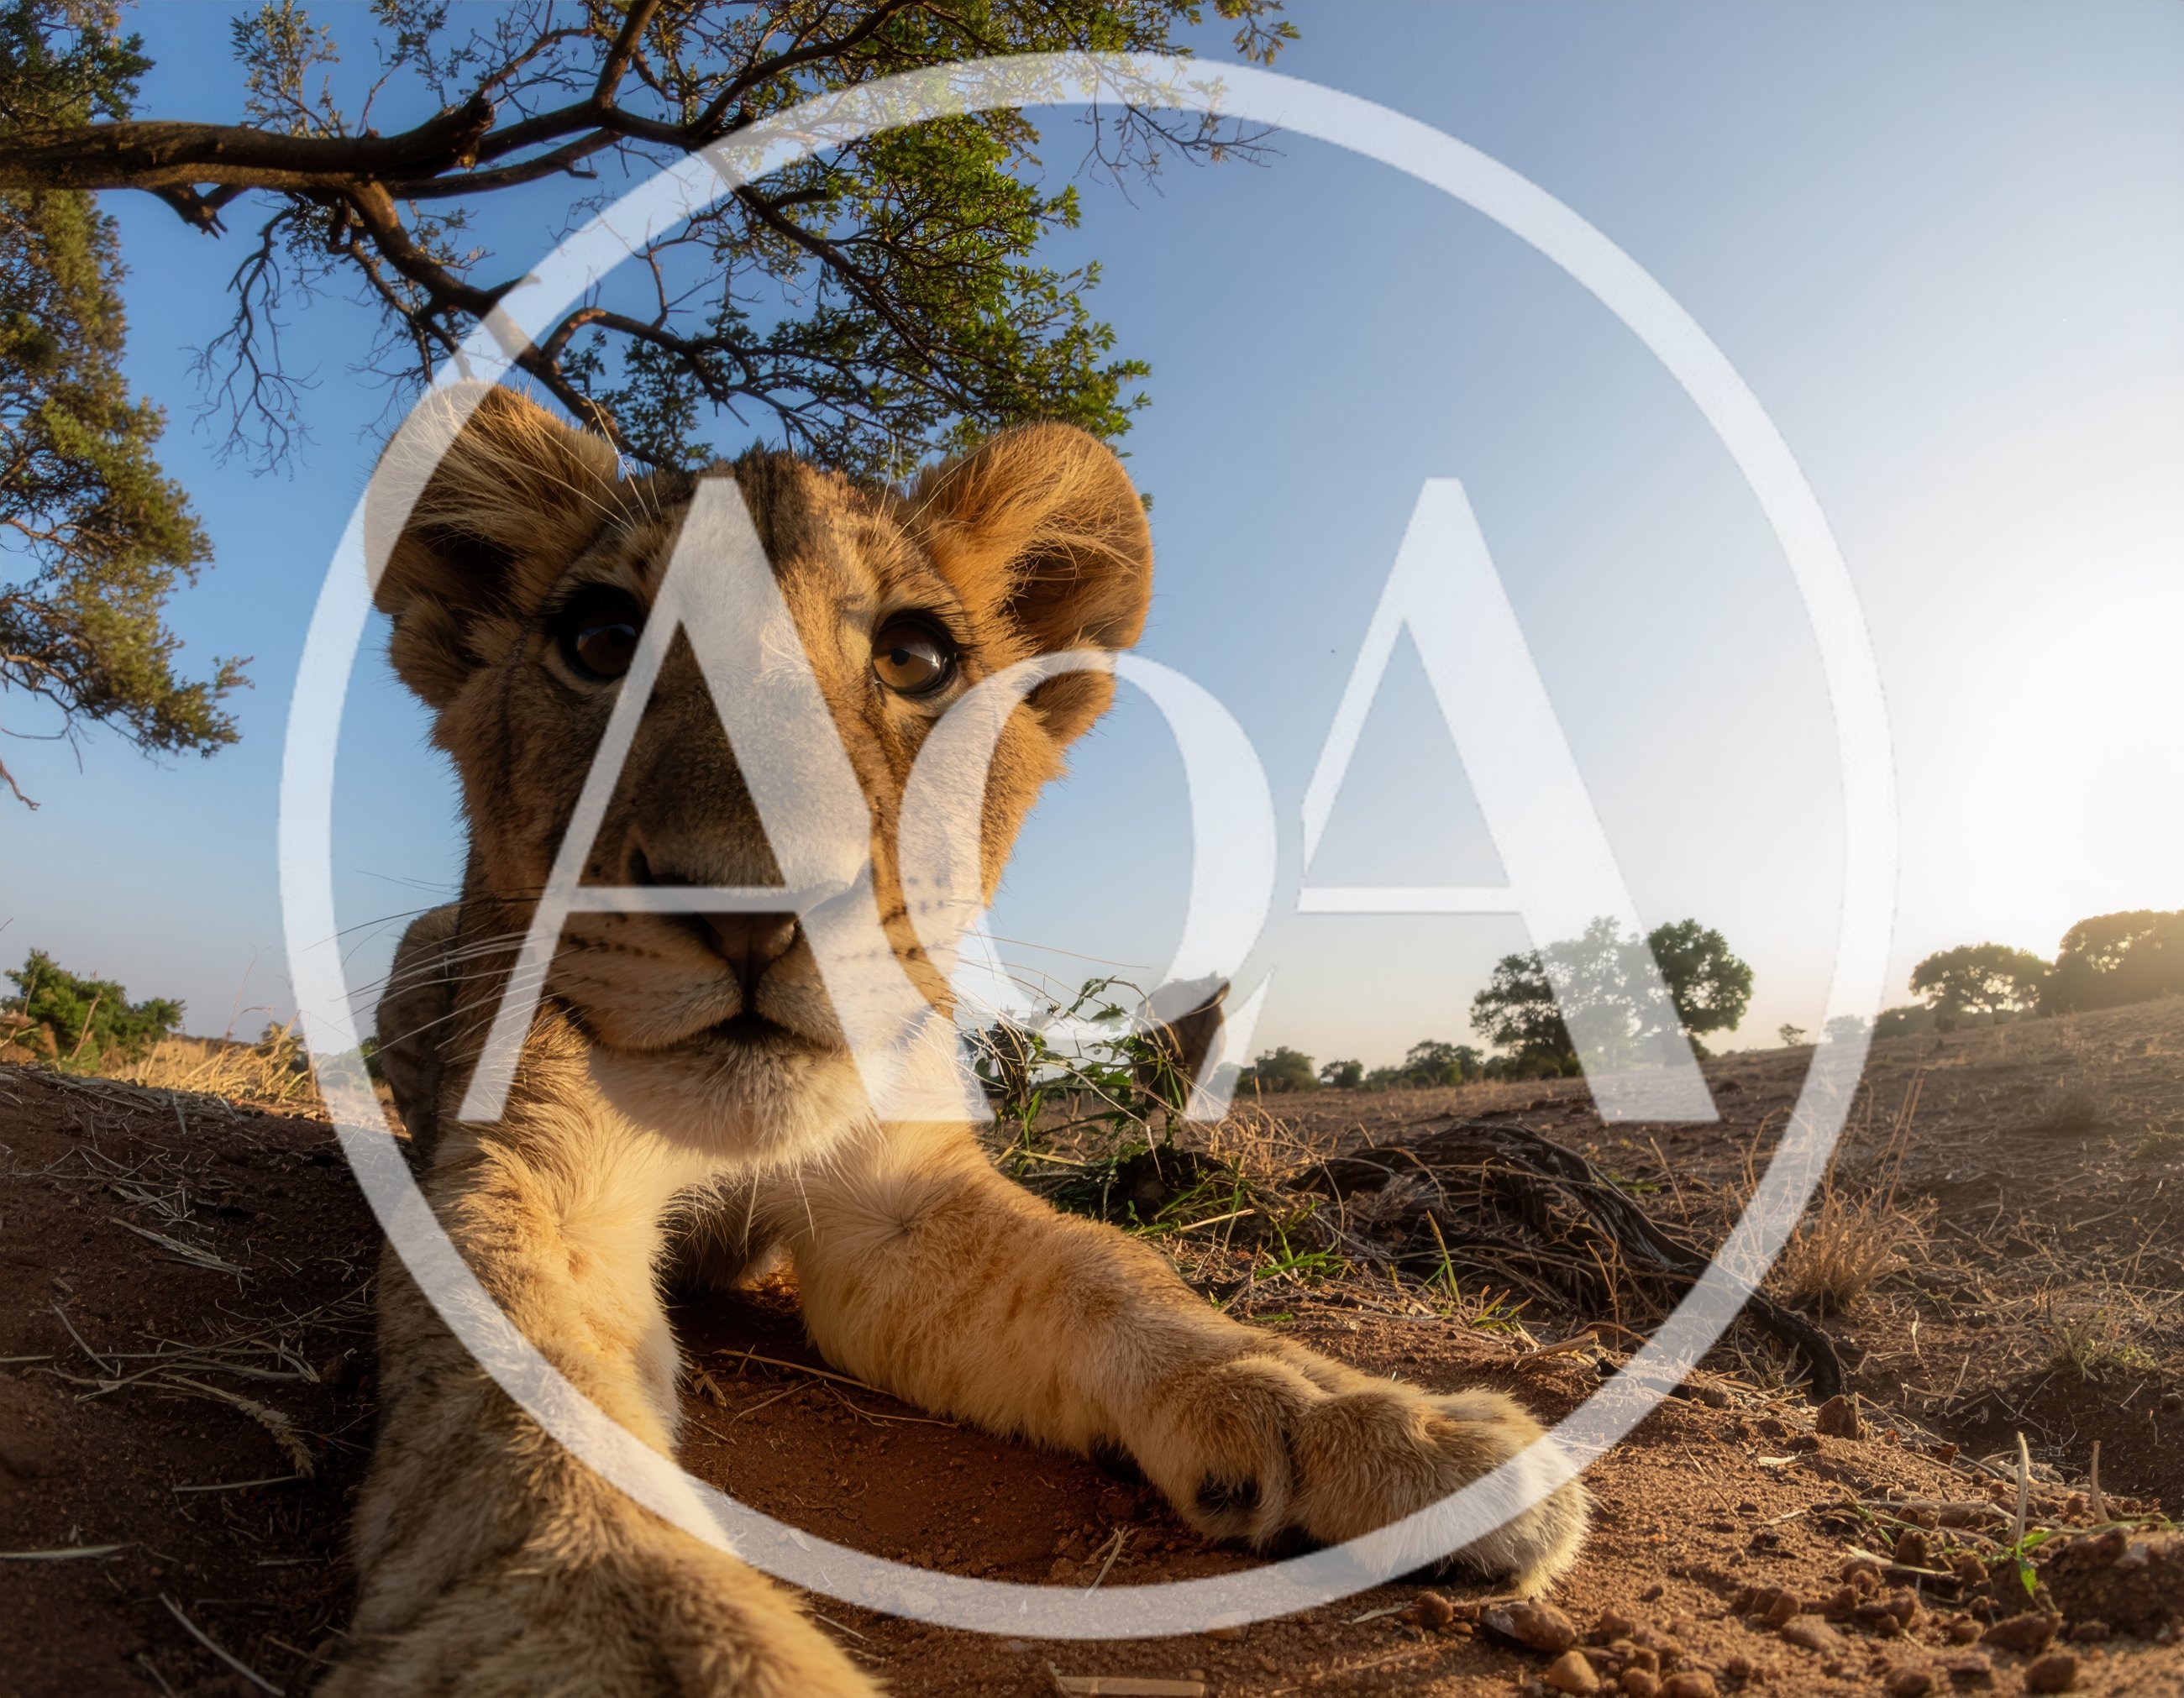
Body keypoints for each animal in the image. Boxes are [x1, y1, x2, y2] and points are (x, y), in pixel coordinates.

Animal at [331, 386, 1586, 1696]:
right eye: (602, 641)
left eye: (914, 658)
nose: (752, 901)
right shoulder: (525, 1171)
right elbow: (520, 1394)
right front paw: (626, 1638)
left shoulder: (903, 1204)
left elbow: (1113, 1272)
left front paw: (1384, 1422)